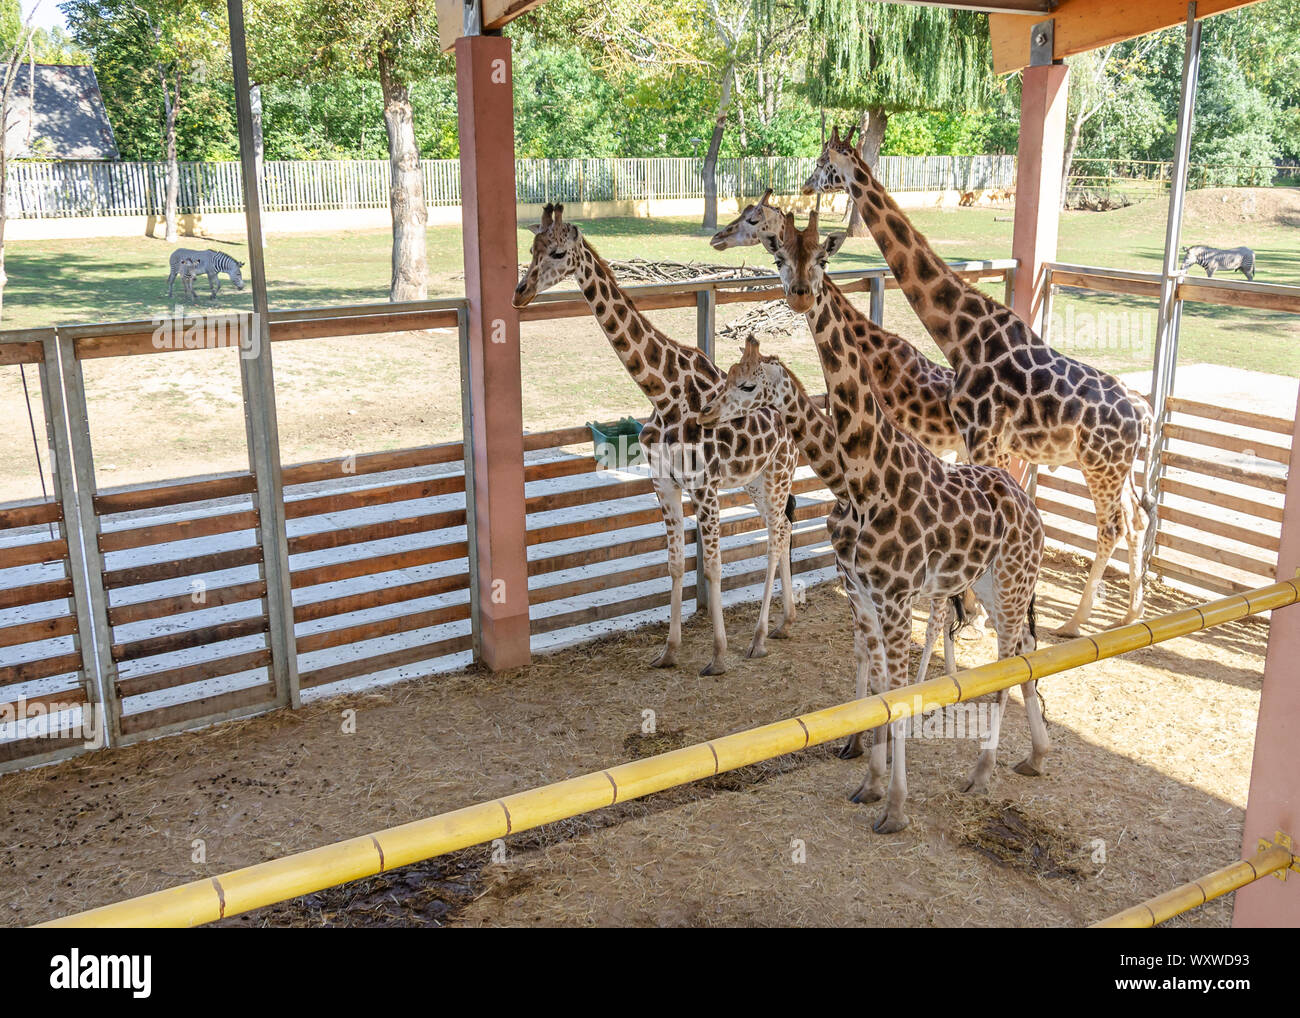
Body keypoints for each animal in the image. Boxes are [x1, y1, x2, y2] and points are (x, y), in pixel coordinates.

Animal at [513, 204, 800, 675]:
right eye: (531, 248)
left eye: (555, 252)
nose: (520, 293)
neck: (662, 392)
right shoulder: (663, 483)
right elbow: (675, 564)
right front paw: (669, 651)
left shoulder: (704, 487)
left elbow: (714, 567)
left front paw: (717, 656)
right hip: (756, 481)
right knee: (786, 528)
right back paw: (785, 622)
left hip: (778, 475)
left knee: (776, 536)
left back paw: (759, 638)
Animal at [746, 212, 1047, 834]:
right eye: (778, 254)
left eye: (824, 257)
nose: (800, 293)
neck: (859, 478)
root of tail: (1030, 507)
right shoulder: (861, 589)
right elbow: (878, 679)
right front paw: (866, 770)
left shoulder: (895, 595)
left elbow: (898, 685)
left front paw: (895, 803)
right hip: (994, 583)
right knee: (1021, 648)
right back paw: (1034, 753)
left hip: (1005, 584)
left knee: (1005, 658)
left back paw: (982, 771)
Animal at [806, 126, 1155, 637]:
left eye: (822, 162)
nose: (805, 183)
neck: (963, 337)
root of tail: (1143, 413)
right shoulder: (984, 442)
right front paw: (970, 609)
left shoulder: (983, 435)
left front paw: (974, 614)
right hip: (1119, 467)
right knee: (1136, 519)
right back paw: (1131, 613)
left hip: (1100, 465)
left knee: (1110, 526)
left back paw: (1075, 622)